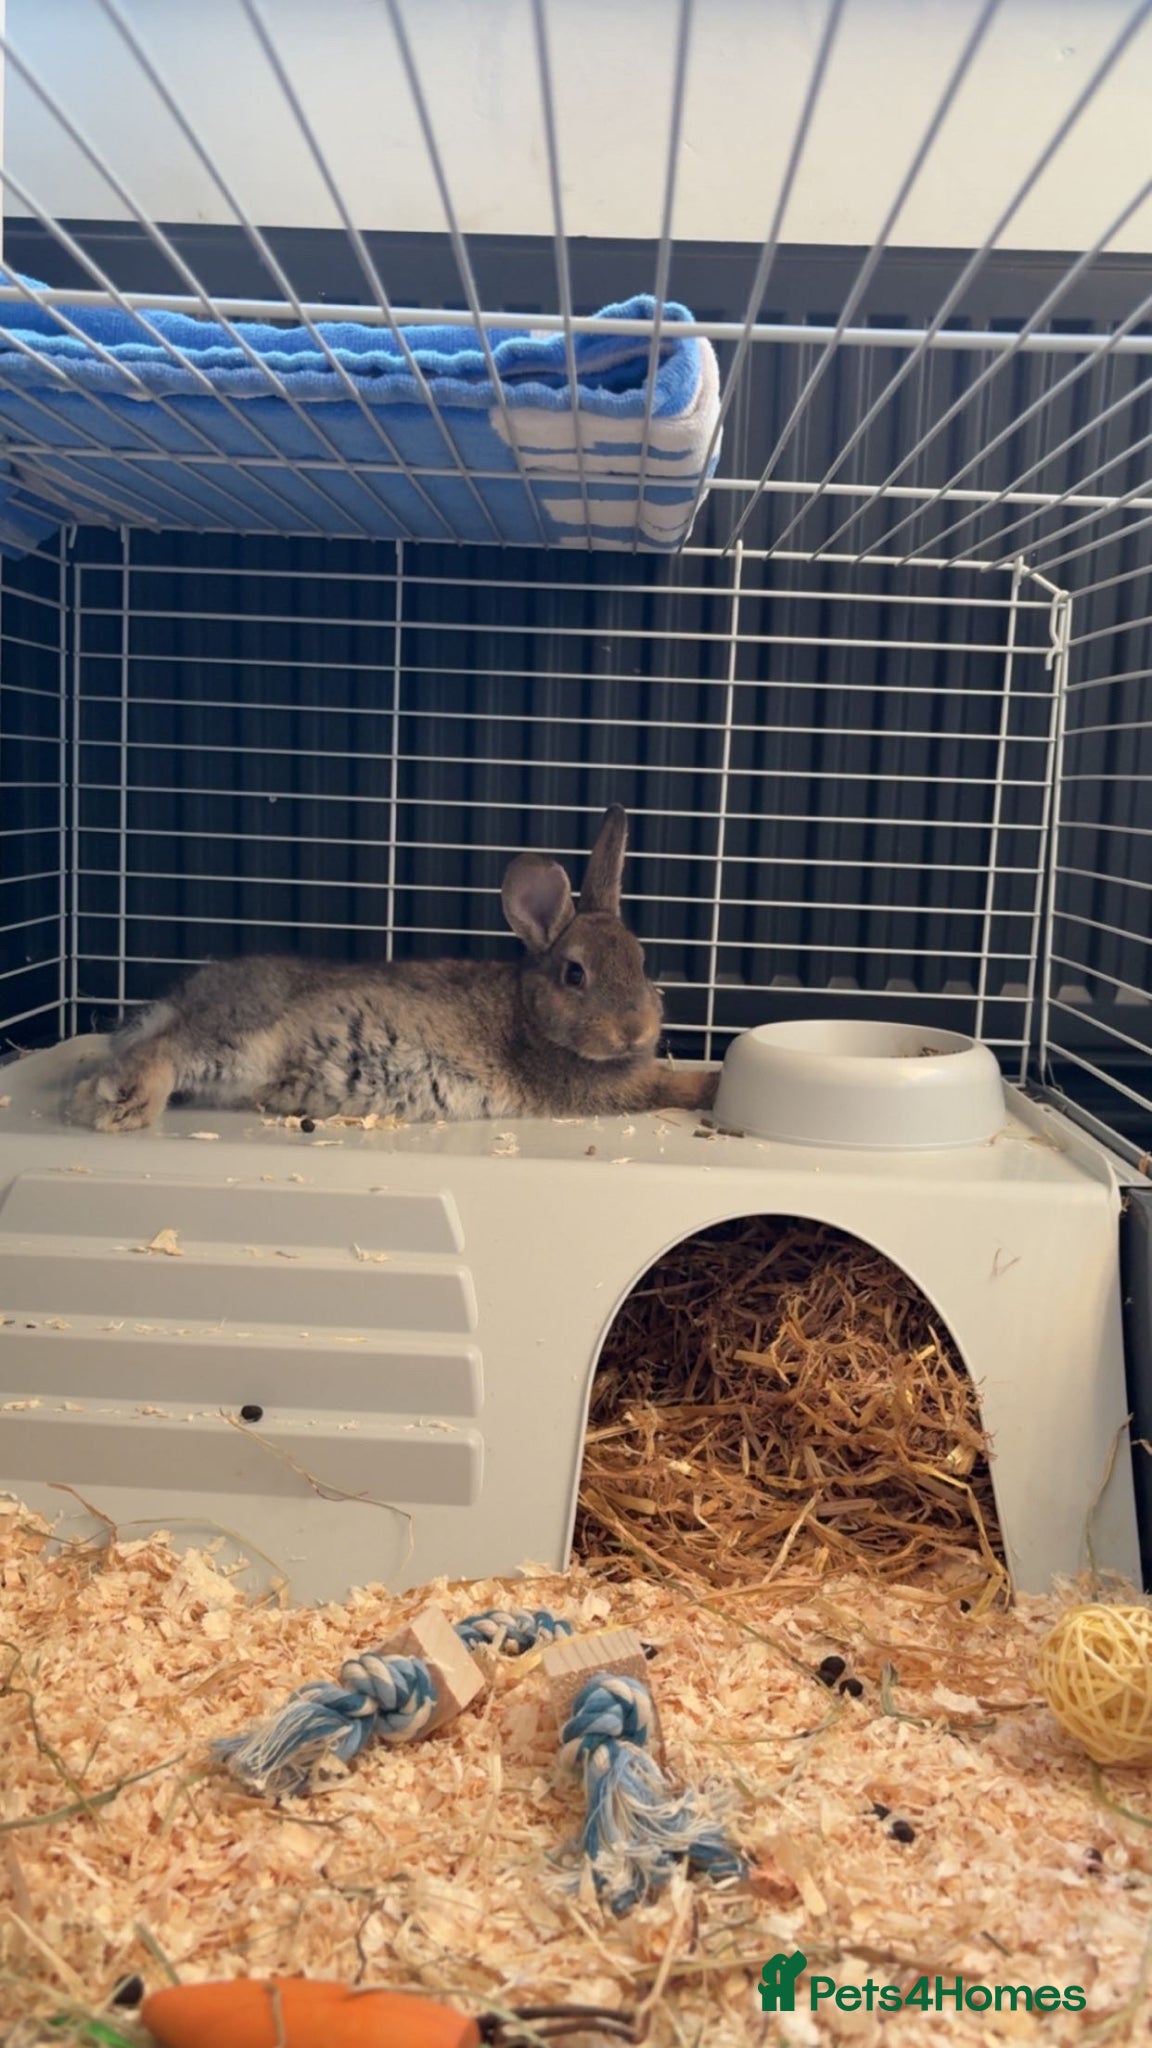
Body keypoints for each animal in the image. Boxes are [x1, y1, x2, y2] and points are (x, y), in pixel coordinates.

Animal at [68, 806, 718, 1132]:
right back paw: (117, 1107)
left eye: (641, 961)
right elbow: (667, 1085)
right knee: (160, 1053)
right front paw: (711, 1085)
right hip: (243, 1042)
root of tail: (182, 1001)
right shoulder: (602, 1086)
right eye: (575, 975)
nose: (634, 1031)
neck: (532, 1020)